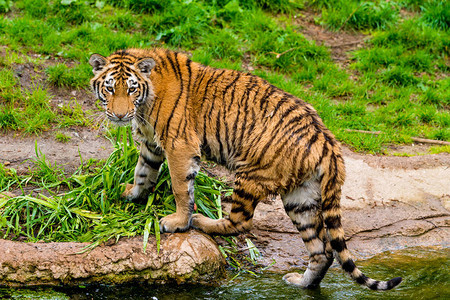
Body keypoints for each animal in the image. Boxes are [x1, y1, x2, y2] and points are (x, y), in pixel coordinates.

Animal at [88, 48, 400, 290]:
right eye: (109, 88)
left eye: (131, 89)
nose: (119, 115)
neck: (144, 102)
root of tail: (327, 140)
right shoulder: (152, 144)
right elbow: (143, 172)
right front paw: (130, 194)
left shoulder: (179, 146)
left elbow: (180, 187)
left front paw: (177, 222)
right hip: (302, 198)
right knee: (322, 250)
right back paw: (301, 284)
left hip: (250, 174)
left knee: (241, 222)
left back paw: (202, 221)